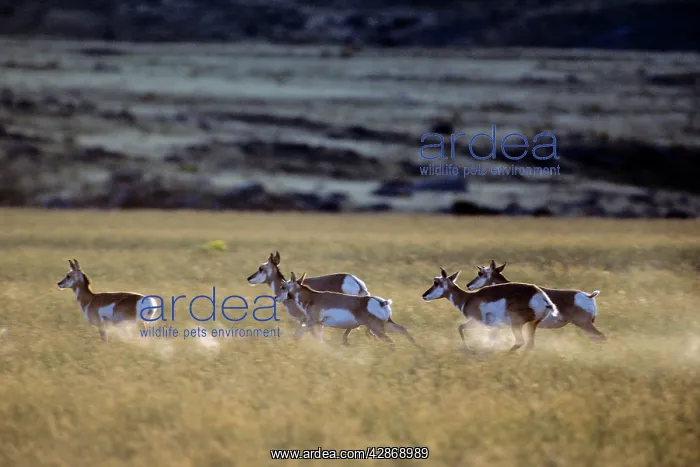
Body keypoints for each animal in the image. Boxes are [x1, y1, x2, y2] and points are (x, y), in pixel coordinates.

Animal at [275, 271, 423, 352]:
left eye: (283, 286)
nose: (276, 298)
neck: (312, 297)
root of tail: (381, 302)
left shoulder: (312, 322)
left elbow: (298, 335)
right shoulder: (315, 324)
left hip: (377, 329)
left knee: (391, 341)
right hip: (386, 325)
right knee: (403, 329)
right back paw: (418, 348)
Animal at [422, 267, 559, 354]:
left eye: (436, 282)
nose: (424, 295)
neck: (468, 298)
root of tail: (539, 293)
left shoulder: (477, 322)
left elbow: (461, 328)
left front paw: (471, 349)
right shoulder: (493, 327)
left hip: (516, 324)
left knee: (520, 342)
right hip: (532, 325)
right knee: (529, 345)